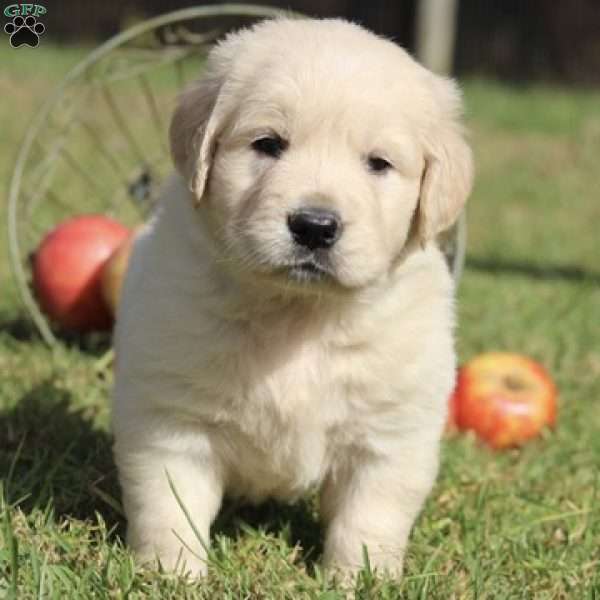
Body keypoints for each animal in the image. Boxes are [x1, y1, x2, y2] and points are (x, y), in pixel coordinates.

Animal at [111, 16, 474, 580]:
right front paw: (170, 575)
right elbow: (169, 505)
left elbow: (369, 517)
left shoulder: (389, 435)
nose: (315, 226)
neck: (297, 312)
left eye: (378, 164)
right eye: (268, 143)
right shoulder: (171, 420)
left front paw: (359, 580)